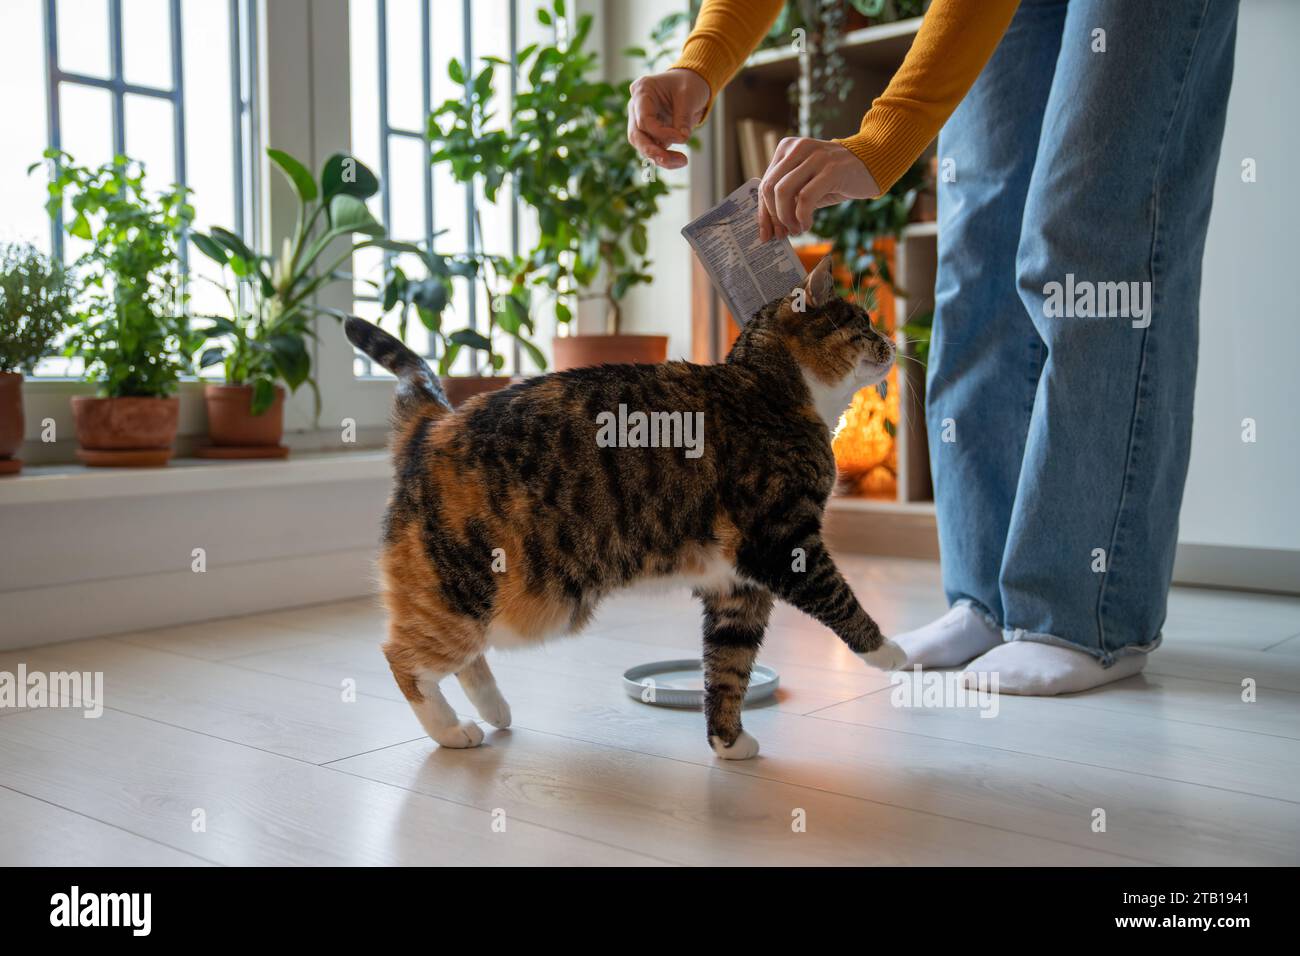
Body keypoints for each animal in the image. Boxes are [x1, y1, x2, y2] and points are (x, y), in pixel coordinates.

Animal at [351, 256, 909, 764]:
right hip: (475, 591)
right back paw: (452, 730)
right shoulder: (781, 545)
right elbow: (838, 599)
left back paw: (494, 710)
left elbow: (728, 664)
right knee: (404, 658)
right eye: (863, 323)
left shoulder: (736, 586)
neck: (768, 390)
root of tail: (433, 425)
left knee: (466, 657)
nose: (892, 343)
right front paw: (891, 652)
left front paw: (727, 742)